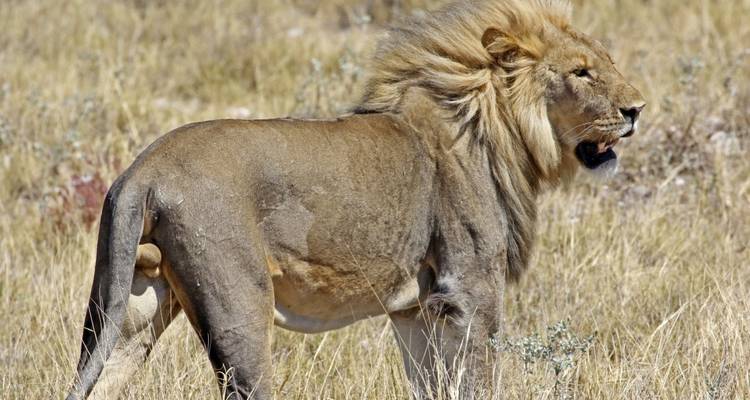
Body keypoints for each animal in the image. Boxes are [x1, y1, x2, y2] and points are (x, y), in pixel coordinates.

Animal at [66, 0, 644, 399]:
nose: (637, 109)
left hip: (130, 307)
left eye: (606, 62)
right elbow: (478, 380)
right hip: (239, 308)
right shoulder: (471, 290)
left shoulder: (417, 309)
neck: (494, 128)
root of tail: (143, 170)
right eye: (581, 72)